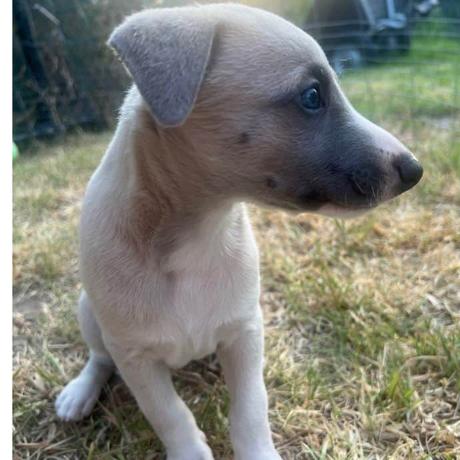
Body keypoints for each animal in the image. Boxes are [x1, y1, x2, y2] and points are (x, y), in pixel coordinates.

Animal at [55, 4, 422, 460]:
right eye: (312, 97)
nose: (414, 170)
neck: (197, 237)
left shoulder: (245, 331)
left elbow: (250, 408)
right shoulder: (135, 357)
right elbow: (170, 415)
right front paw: (190, 453)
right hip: (89, 311)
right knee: (99, 358)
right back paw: (79, 392)